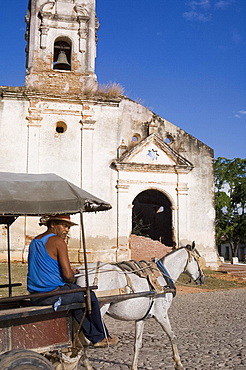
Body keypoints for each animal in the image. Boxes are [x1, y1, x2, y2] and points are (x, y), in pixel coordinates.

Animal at [77, 243, 206, 370]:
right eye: (197, 259)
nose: (203, 278)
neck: (163, 277)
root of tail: (80, 273)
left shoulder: (141, 318)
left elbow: (137, 344)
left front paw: (134, 366)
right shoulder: (162, 315)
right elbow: (172, 335)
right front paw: (178, 363)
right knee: (83, 341)